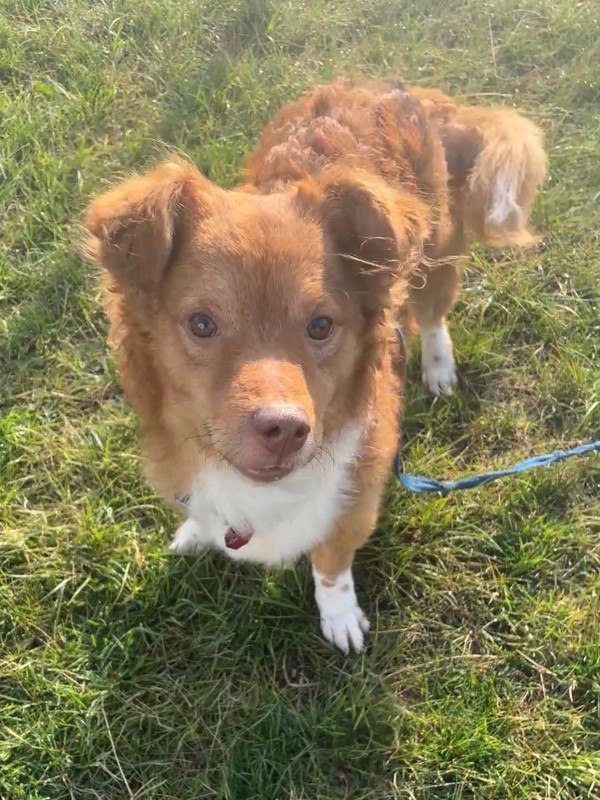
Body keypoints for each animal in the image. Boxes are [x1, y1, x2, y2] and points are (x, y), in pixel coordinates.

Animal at [82, 76, 548, 648]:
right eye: (202, 324)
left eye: (321, 326)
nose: (284, 429)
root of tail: (395, 85)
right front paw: (197, 530)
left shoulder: (356, 498)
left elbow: (330, 564)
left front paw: (340, 615)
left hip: (433, 248)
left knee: (434, 311)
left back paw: (438, 367)